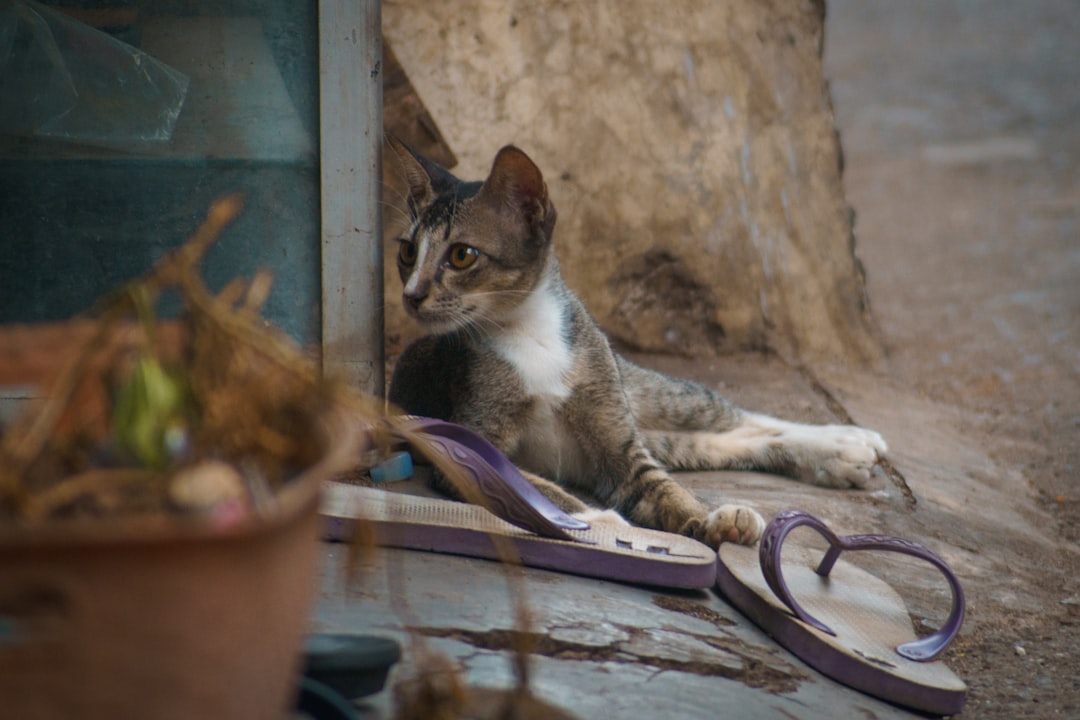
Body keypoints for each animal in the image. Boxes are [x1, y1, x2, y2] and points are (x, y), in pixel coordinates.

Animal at [386, 138, 885, 548]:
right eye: (407, 252)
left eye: (461, 255)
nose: (411, 295)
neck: (529, 331)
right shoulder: (467, 447)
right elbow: (535, 490)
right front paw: (603, 522)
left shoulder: (622, 447)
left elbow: (665, 489)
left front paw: (706, 518)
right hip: (652, 428)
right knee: (720, 440)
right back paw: (841, 455)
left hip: (646, 396)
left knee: (735, 414)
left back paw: (847, 439)